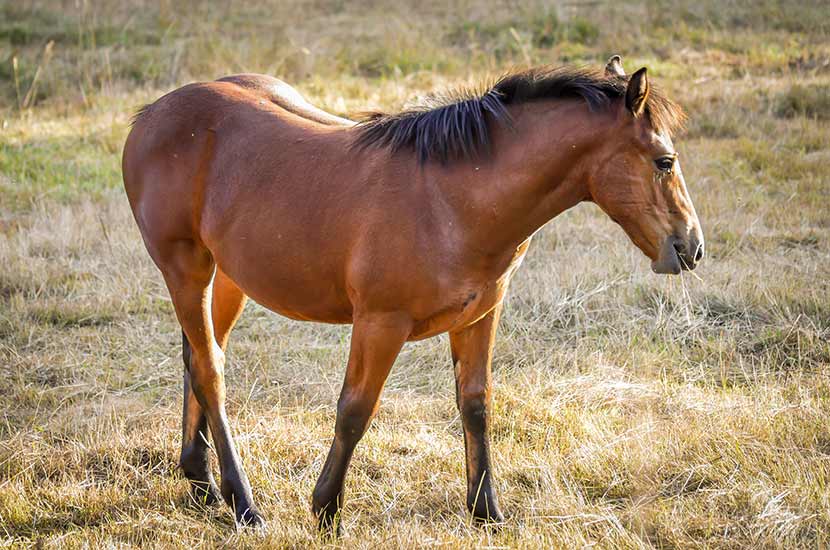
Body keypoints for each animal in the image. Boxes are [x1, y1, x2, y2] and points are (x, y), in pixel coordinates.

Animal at [123, 56, 704, 536]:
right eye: (664, 161)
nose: (691, 247)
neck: (454, 200)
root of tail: (151, 116)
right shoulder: (381, 323)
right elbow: (355, 411)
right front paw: (326, 511)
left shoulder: (480, 317)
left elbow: (476, 405)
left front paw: (487, 512)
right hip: (186, 269)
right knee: (211, 373)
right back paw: (243, 505)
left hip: (228, 278)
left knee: (197, 359)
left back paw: (201, 483)